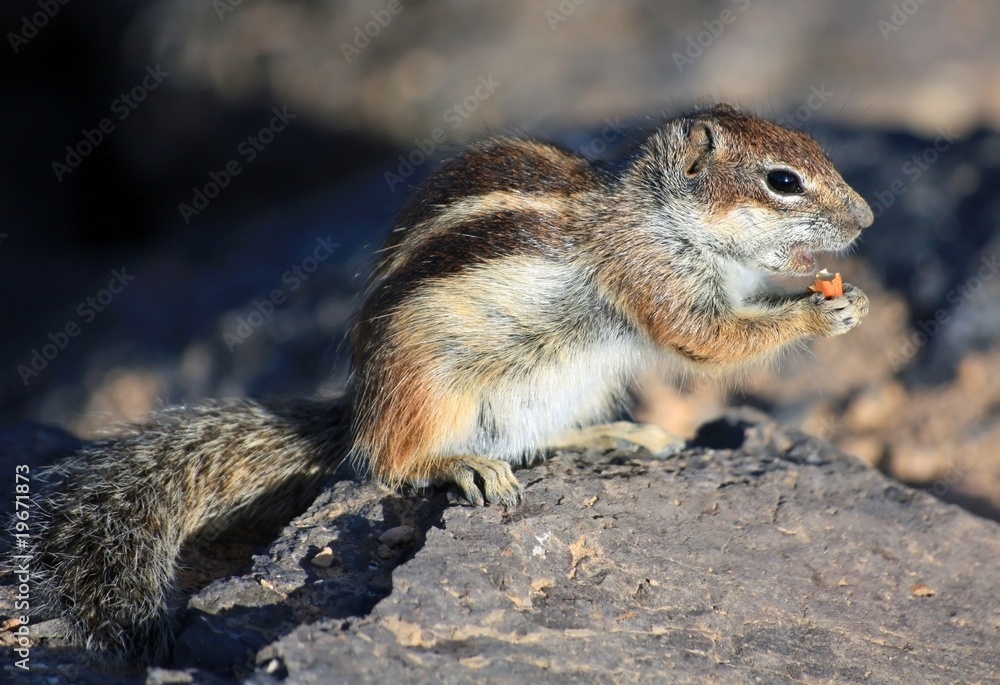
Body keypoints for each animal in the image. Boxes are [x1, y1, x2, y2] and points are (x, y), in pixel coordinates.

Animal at [22, 103, 872, 667]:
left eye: (814, 153)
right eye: (783, 181)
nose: (867, 218)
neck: (658, 213)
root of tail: (358, 408)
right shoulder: (653, 276)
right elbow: (708, 339)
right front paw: (820, 313)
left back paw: (612, 433)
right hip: (429, 385)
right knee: (390, 460)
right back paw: (460, 463)